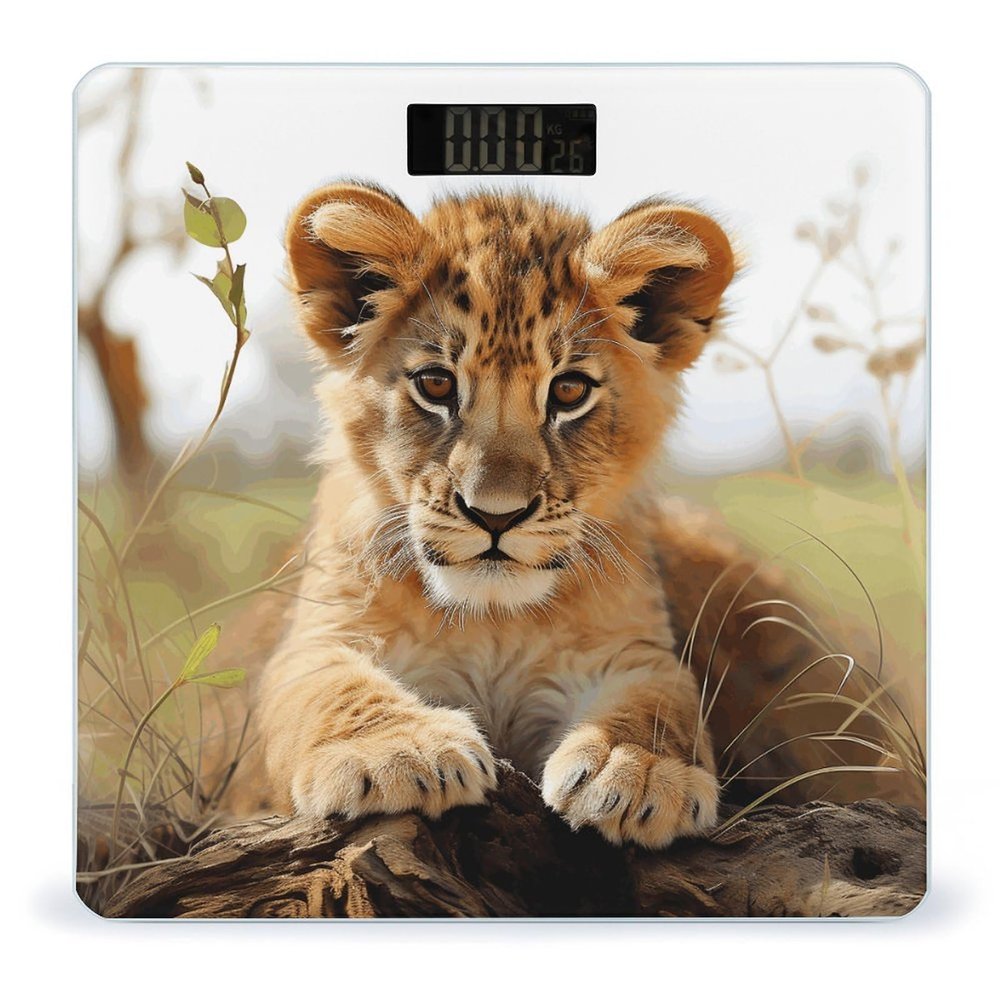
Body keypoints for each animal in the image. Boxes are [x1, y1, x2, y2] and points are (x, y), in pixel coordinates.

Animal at [223, 182, 868, 848]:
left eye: (568, 391)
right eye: (436, 384)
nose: (495, 516)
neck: (492, 621)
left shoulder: (632, 650)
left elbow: (661, 700)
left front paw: (636, 771)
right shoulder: (316, 638)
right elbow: (325, 686)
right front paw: (396, 751)